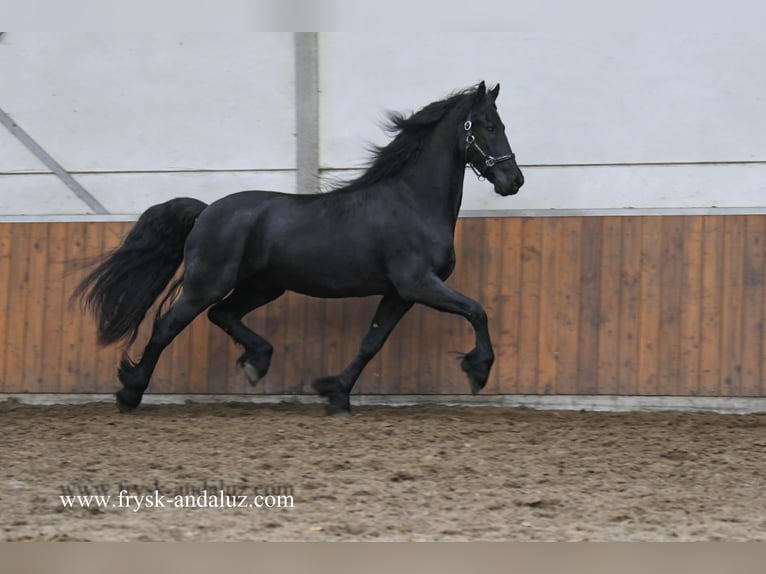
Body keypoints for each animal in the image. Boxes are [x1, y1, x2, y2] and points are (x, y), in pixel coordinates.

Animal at [74, 81, 525, 415]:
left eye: (501, 124)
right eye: (486, 125)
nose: (513, 180)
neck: (413, 202)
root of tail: (205, 212)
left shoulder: (399, 293)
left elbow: (371, 342)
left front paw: (335, 393)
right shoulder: (419, 284)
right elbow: (477, 311)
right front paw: (478, 370)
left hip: (263, 286)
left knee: (223, 315)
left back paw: (257, 362)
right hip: (207, 284)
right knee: (168, 326)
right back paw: (130, 394)